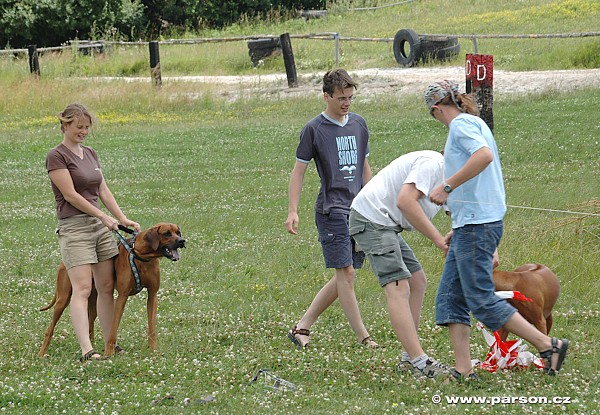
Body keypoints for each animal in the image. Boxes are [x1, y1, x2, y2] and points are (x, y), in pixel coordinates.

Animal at [37, 224, 185, 358]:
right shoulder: (122, 296)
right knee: (50, 329)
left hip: (95, 299)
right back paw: (41, 353)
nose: (182, 241)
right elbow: (113, 329)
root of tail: (63, 262)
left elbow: (152, 327)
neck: (141, 255)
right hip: (63, 299)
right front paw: (109, 353)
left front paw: (153, 350)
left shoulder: (153, 295)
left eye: (178, 232)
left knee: (90, 324)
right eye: (166, 233)